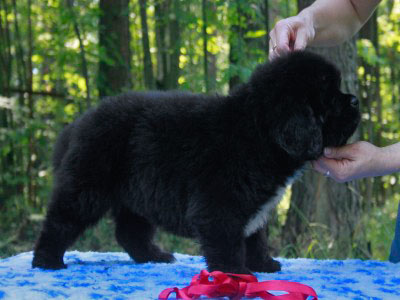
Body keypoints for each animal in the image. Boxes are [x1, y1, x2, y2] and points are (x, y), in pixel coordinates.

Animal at [33, 51, 360, 274]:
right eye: (330, 99)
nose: (356, 100)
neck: (257, 133)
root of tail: (78, 124)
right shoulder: (219, 205)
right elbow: (228, 243)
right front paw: (235, 274)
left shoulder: (255, 207)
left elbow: (256, 238)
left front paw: (264, 265)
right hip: (87, 185)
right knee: (61, 220)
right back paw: (47, 261)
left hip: (136, 194)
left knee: (129, 231)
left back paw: (154, 256)